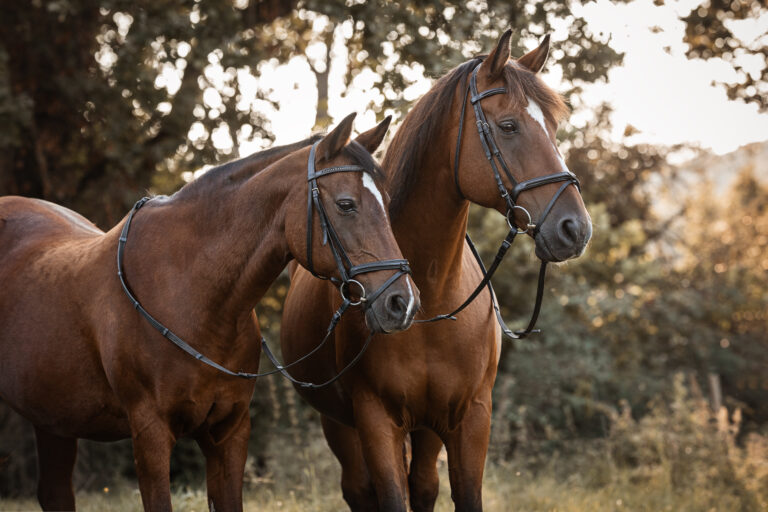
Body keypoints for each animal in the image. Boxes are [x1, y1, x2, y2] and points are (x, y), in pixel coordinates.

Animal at [0, 113, 420, 512]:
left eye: (385, 201)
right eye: (346, 205)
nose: (403, 303)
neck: (191, 294)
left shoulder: (229, 431)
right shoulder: (151, 435)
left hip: (53, 420)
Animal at [280, 30, 592, 510]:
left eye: (555, 128)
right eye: (508, 126)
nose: (575, 228)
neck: (430, 301)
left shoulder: (470, 420)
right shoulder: (375, 421)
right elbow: (390, 496)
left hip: (427, 429)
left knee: (424, 484)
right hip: (340, 425)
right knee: (359, 489)